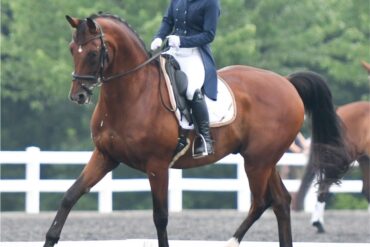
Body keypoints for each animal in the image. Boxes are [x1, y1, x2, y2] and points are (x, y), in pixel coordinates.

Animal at [43, 14, 350, 247]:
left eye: (94, 53)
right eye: (71, 49)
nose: (78, 95)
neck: (133, 94)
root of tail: (287, 83)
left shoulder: (157, 165)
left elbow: (160, 216)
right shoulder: (105, 156)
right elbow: (70, 195)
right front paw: (50, 239)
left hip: (257, 161)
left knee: (261, 201)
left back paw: (231, 242)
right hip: (265, 160)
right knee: (281, 202)